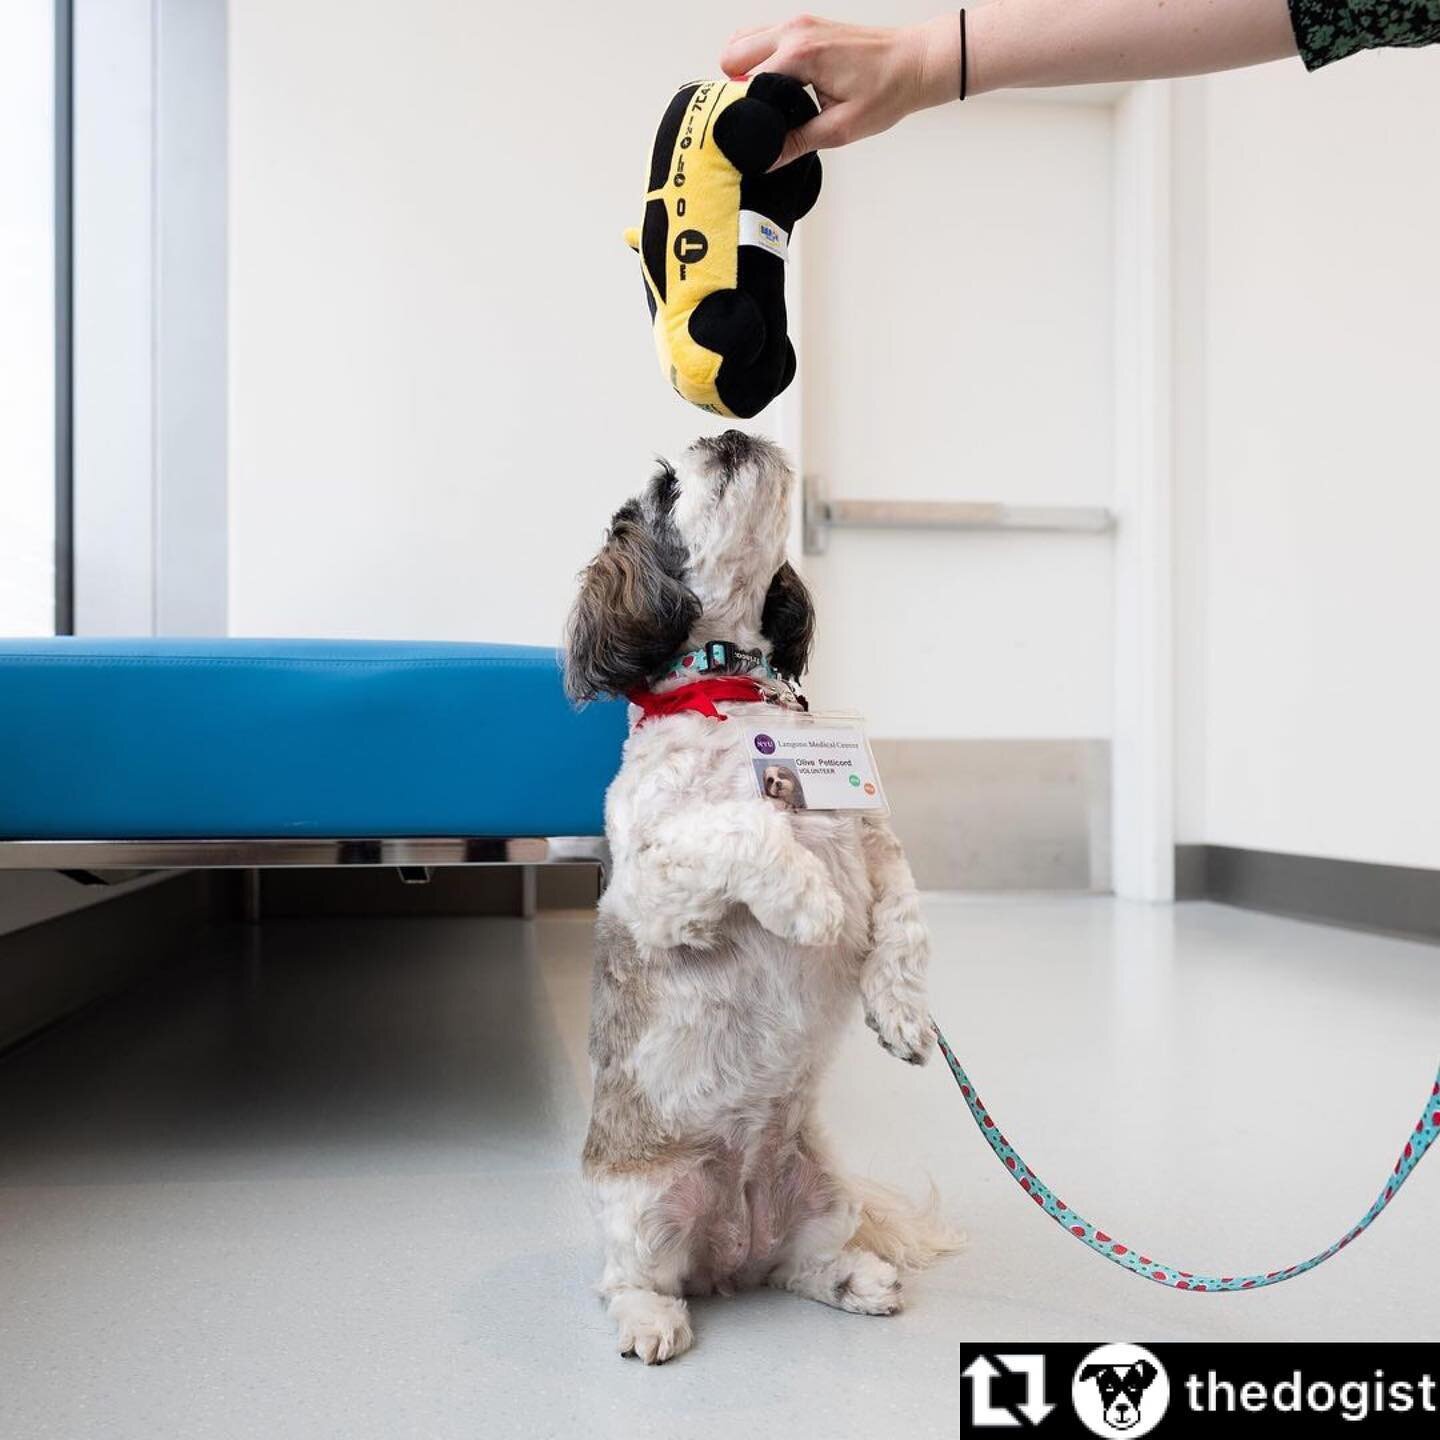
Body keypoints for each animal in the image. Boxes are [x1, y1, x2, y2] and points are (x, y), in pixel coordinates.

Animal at [561, 426, 956, 1359]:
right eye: (666, 488)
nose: (728, 430)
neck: (734, 692)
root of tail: (727, 1258)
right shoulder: (652, 886)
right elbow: (748, 831)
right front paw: (812, 904)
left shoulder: (872, 839)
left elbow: (907, 914)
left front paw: (902, 1013)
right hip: (643, 1206)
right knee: (629, 1279)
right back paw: (652, 1320)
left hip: (822, 1188)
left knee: (797, 1266)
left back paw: (852, 1278)